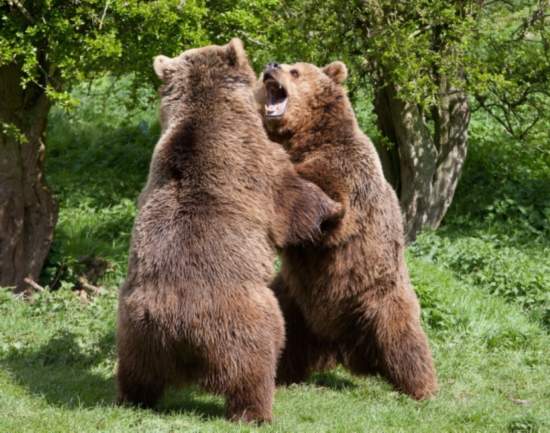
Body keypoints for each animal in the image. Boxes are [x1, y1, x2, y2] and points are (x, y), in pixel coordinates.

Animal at [116, 40, 340, 422]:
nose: (270, 61)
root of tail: (181, 333)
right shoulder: (258, 161)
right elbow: (294, 200)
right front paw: (333, 209)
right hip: (244, 319)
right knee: (254, 364)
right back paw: (257, 412)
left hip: (137, 327)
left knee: (137, 374)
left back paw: (131, 399)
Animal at [256, 60, 440, 398]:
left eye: (295, 70)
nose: (271, 65)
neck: (304, 139)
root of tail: (339, 340)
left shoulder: (345, 171)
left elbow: (326, 204)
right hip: (293, 298)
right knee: (285, 330)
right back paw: (279, 371)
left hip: (379, 295)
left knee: (403, 338)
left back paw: (421, 387)